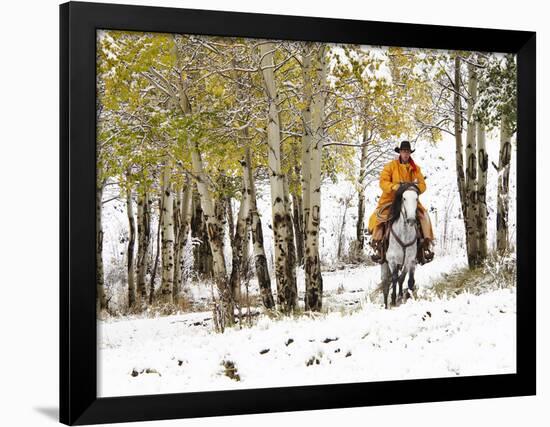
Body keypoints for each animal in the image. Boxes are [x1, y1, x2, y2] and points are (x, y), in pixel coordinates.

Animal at [382, 182, 420, 310]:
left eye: (416, 198)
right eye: (404, 198)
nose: (411, 220)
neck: (404, 234)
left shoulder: (410, 260)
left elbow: (406, 279)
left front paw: (404, 297)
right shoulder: (392, 260)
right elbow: (394, 278)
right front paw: (393, 300)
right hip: (384, 264)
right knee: (385, 284)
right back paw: (386, 304)